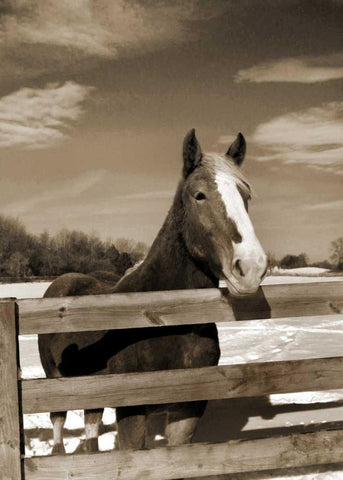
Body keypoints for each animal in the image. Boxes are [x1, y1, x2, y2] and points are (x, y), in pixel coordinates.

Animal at [38, 129, 268, 460]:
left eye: (245, 195)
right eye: (199, 195)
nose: (251, 267)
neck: (165, 322)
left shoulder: (188, 409)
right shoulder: (132, 410)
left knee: (91, 427)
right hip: (54, 381)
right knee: (58, 425)